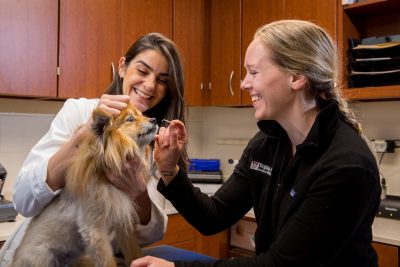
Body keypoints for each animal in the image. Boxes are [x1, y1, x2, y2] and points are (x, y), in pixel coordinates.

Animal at [10, 104, 158, 267]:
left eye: (142, 115)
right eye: (130, 119)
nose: (154, 119)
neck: (106, 178)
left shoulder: (123, 221)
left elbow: (134, 254)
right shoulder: (94, 230)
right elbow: (107, 262)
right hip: (43, 256)